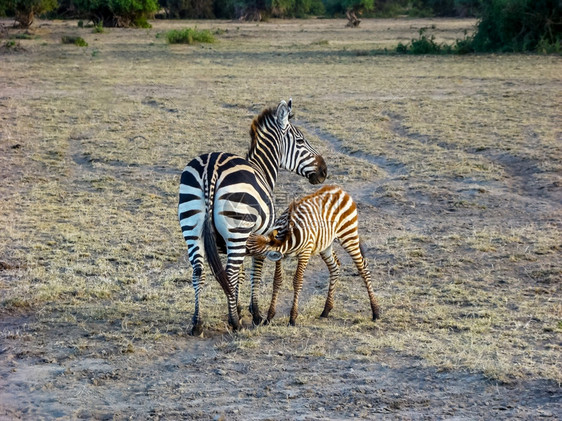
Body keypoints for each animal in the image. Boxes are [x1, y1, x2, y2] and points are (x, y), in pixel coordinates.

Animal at [179, 99, 326, 334]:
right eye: (301, 140)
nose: (324, 171)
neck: (262, 169)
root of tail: (211, 167)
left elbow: (237, 275)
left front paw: (237, 307)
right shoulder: (259, 238)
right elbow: (253, 272)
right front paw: (254, 314)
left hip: (192, 226)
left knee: (199, 271)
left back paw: (197, 323)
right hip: (236, 228)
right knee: (228, 272)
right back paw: (235, 324)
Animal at [247, 185, 378, 326]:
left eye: (247, 248)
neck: (286, 238)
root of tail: (338, 188)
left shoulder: (305, 253)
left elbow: (297, 281)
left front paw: (292, 318)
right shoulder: (280, 257)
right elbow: (277, 280)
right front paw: (269, 317)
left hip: (348, 235)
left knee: (362, 268)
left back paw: (375, 312)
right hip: (325, 244)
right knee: (335, 266)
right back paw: (326, 310)